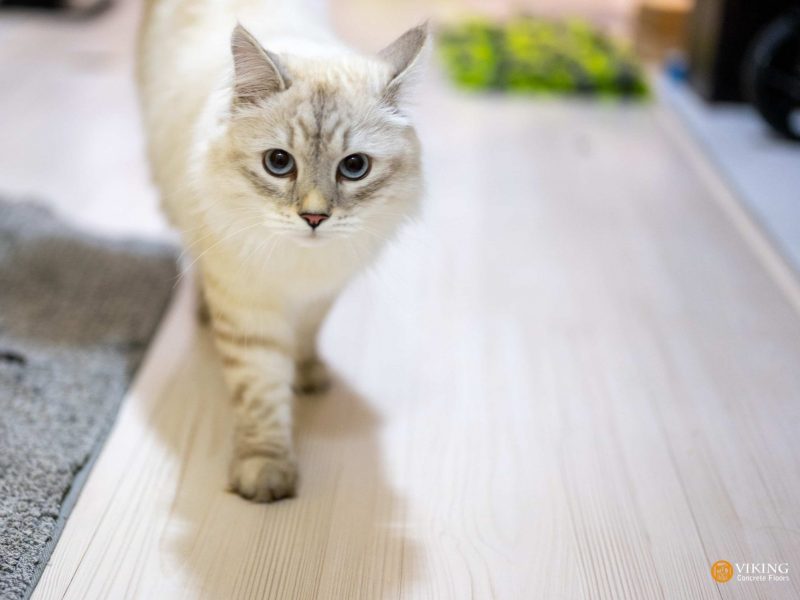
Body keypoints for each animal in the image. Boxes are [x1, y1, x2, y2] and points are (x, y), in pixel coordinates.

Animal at [139, 1, 424, 502]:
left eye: (354, 167)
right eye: (278, 163)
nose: (313, 218)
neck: (300, 265)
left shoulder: (323, 291)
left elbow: (306, 338)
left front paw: (307, 375)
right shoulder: (248, 304)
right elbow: (262, 394)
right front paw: (265, 475)